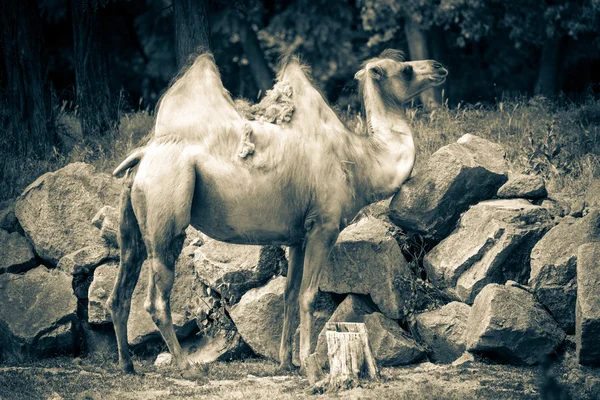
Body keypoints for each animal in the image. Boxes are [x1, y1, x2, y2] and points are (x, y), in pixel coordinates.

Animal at [106, 48, 446, 374]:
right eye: (405, 69)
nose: (439, 67)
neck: (360, 162)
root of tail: (143, 155)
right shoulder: (324, 225)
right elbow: (309, 295)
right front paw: (311, 362)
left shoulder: (298, 237)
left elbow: (289, 295)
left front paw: (287, 363)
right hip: (166, 203)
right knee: (156, 298)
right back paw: (187, 368)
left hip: (135, 217)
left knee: (121, 285)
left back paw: (127, 365)